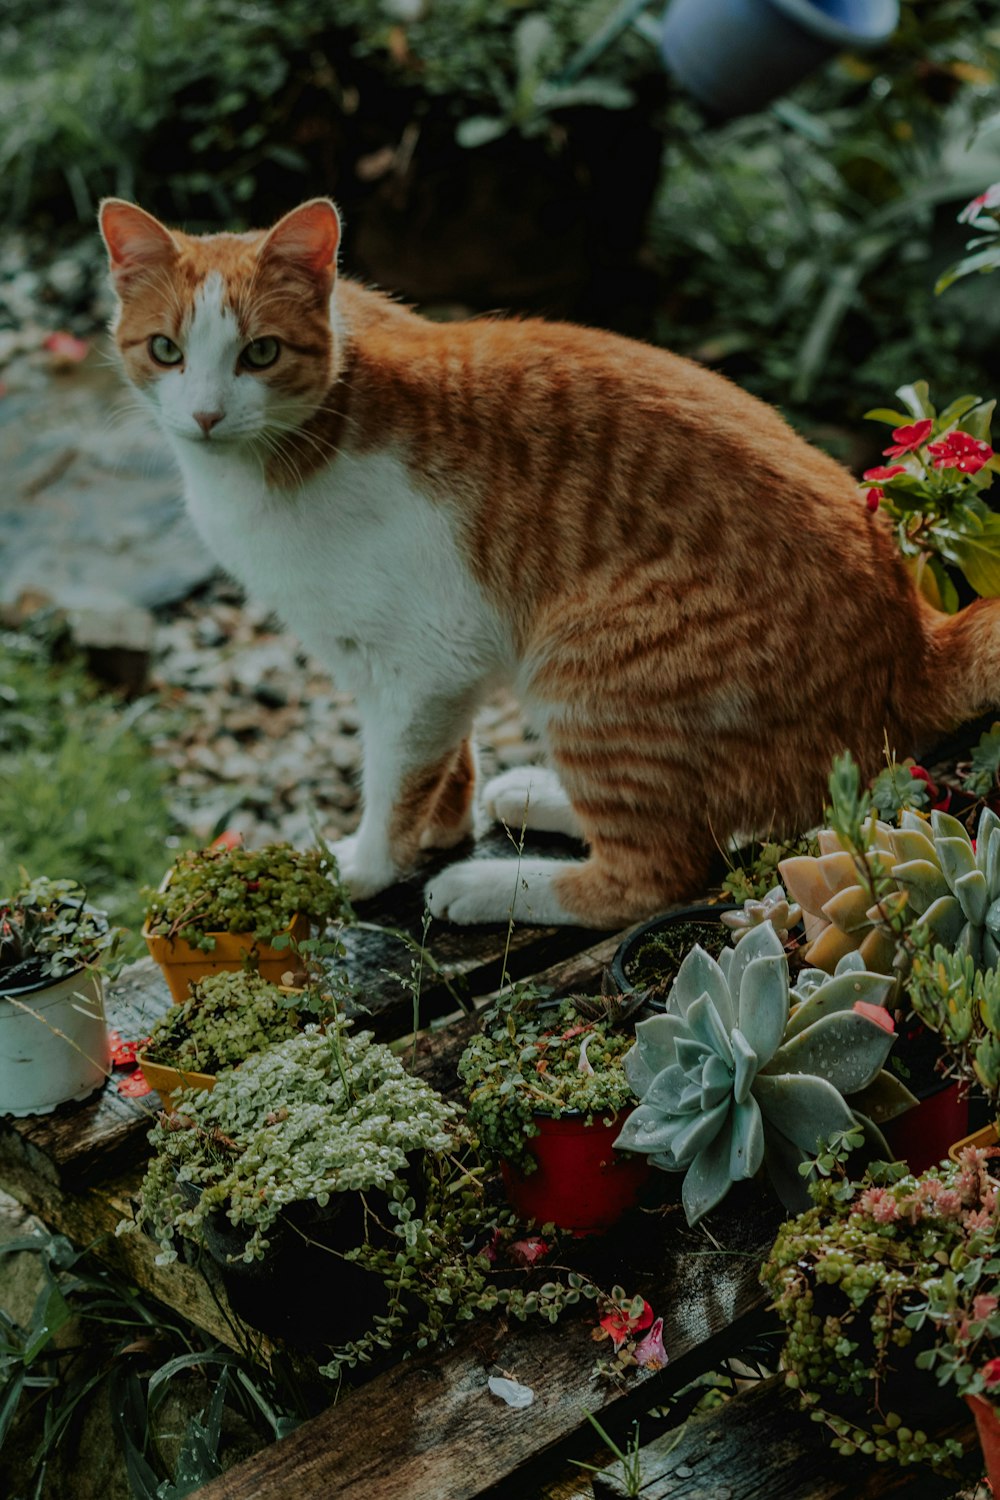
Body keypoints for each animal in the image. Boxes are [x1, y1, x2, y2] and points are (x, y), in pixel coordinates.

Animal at [95, 199, 1000, 924]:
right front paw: (445, 829)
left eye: (261, 355)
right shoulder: (415, 671)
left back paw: (488, 889)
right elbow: (446, 765)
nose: (206, 415)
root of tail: (917, 642)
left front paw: (370, 866)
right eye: (167, 350)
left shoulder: (421, 663)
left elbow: (393, 781)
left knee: (655, 874)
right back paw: (537, 798)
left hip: (586, 660)